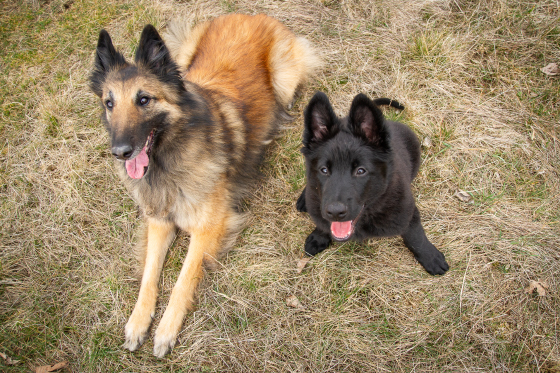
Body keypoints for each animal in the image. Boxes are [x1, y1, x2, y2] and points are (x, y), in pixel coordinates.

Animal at [89, 14, 318, 356]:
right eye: (109, 103)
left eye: (144, 100)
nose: (119, 151)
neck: (169, 160)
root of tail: (251, 15)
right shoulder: (160, 223)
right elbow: (149, 277)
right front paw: (138, 321)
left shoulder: (208, 228)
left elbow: (183, 280)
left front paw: (166, 330)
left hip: (284, 82)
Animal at [298, 91, 450, 274]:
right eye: (324, 170)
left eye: (360, 171)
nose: (335, 212)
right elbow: (323, 224)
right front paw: (319, 237)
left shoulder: (408, 210)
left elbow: (415, 235)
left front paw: (430, 256)